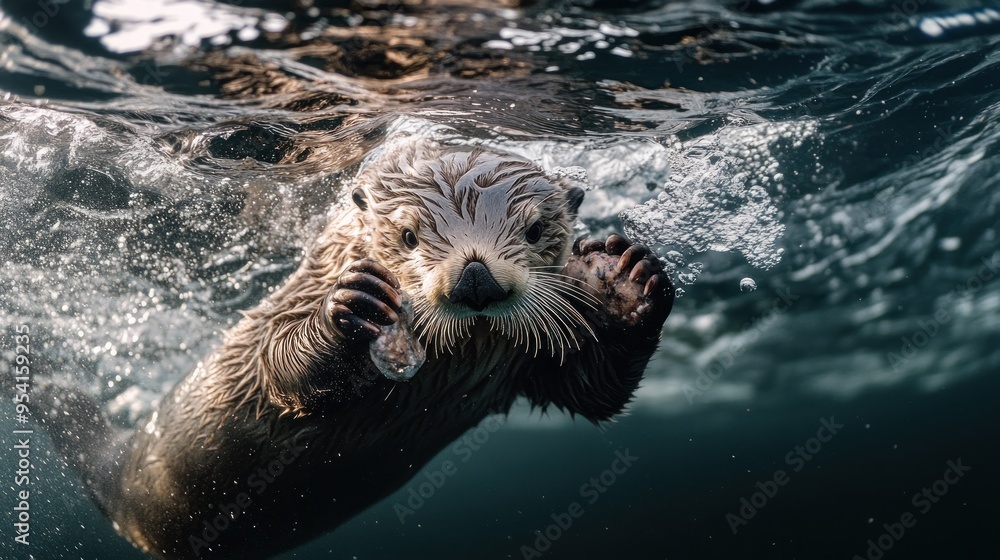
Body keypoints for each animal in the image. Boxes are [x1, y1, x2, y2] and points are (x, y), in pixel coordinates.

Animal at [39, 143, 674, 559]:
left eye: (537, 230)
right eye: (408, 236)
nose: (476, 279)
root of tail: (124, 457)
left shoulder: (526, 363)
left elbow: (590, 390)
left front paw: (627, 278)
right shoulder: (281, 315)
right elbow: (275, 369)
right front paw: (350, 311)